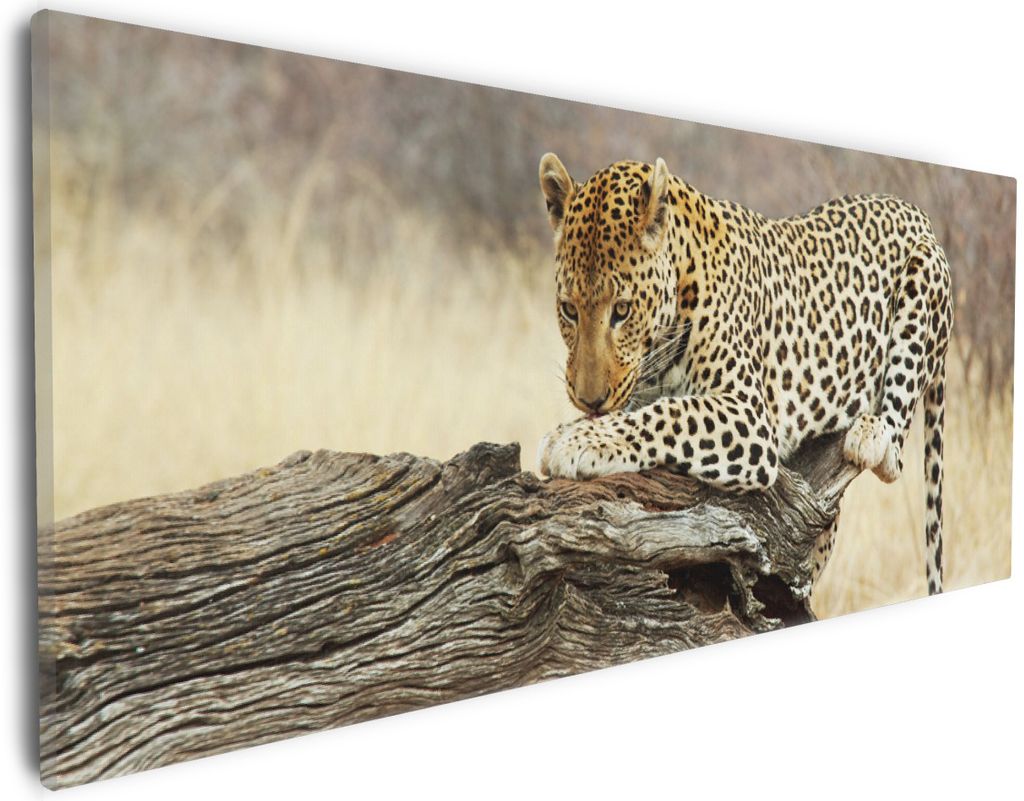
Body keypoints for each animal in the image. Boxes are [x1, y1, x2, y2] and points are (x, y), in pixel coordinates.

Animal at [536, 153, 953, 594]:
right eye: (568, 310)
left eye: (622, 310)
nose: (589, 399)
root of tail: (916, 211)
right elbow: (641, 411)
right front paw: (578, 428)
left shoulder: (748, 414)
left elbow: (667, 414)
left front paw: (573, 440)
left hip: (924, 276)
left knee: (894, 451)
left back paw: (870, 434)